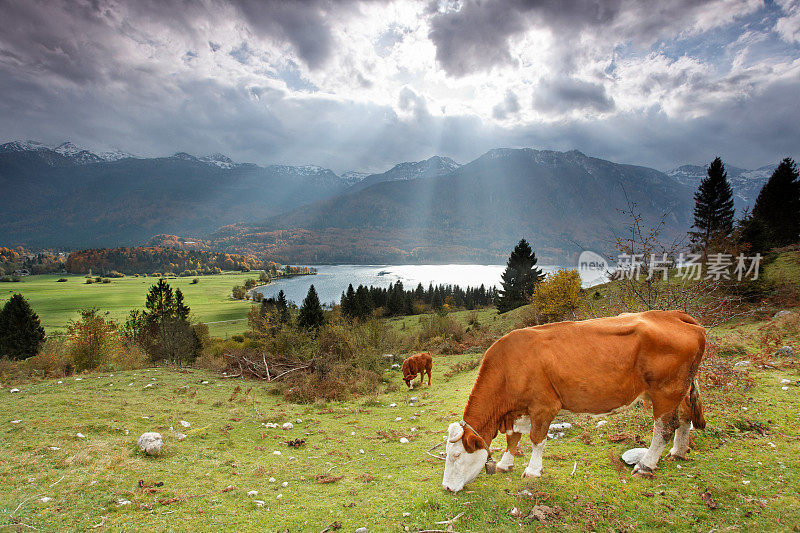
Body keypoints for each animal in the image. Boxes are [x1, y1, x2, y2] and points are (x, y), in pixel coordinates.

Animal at [440, 310, 708, 492]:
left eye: (457, 455)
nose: (446, 488)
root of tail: (674, 315)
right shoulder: (516, 411)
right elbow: (513, 438)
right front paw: (506, 464)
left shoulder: (544, 406)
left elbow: (536, 439)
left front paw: (533, 470)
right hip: (680, 390)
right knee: (685, 417)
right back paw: (678, 451)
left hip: (665, 391)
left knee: (664, 428)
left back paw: (646, 465)